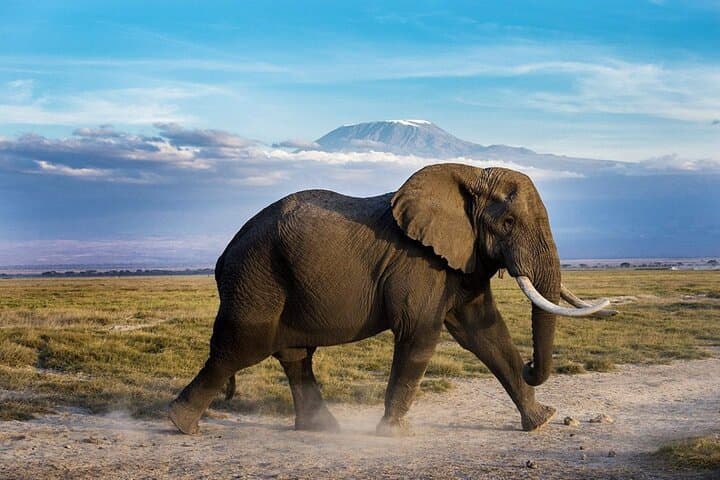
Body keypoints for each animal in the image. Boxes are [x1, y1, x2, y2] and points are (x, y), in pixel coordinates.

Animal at [169, 163, 614, 436]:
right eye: (507, 222)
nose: (530, 366)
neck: (469, 174)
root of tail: (223, 255)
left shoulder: (459, 261)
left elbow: (487, 332)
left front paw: (542, 422)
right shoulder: (418, 263)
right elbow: (420, 335)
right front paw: (394, 434)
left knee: (295, 355)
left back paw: (324, 430)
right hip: (256, 279)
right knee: (241, 348)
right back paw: (181, 424)